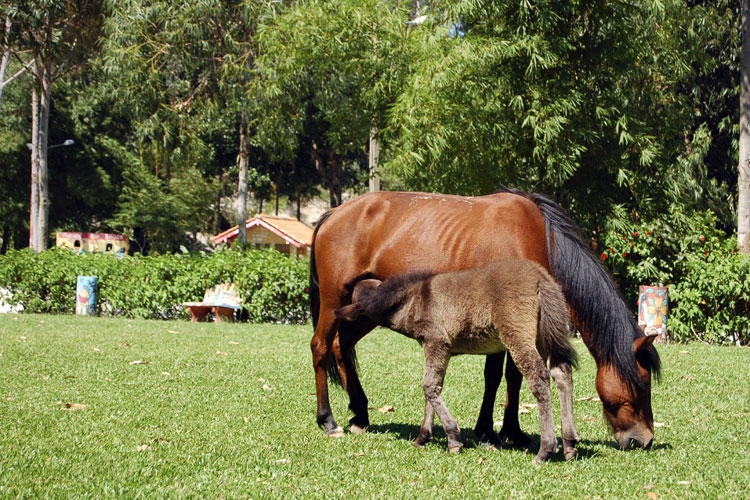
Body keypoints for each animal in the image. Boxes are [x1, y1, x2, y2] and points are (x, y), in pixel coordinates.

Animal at [336, 260, 580, 462]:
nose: (338, 315)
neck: (416, 299)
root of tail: (542, 279)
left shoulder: (436, 342)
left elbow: (428, 386)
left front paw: (453, 438)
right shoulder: (439, 348)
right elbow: (433, 388)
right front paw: (423, 438)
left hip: (517, 334)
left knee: (538, 376)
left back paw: (546, 449)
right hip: (544, 335)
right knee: (562, 372)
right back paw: (570, 443)